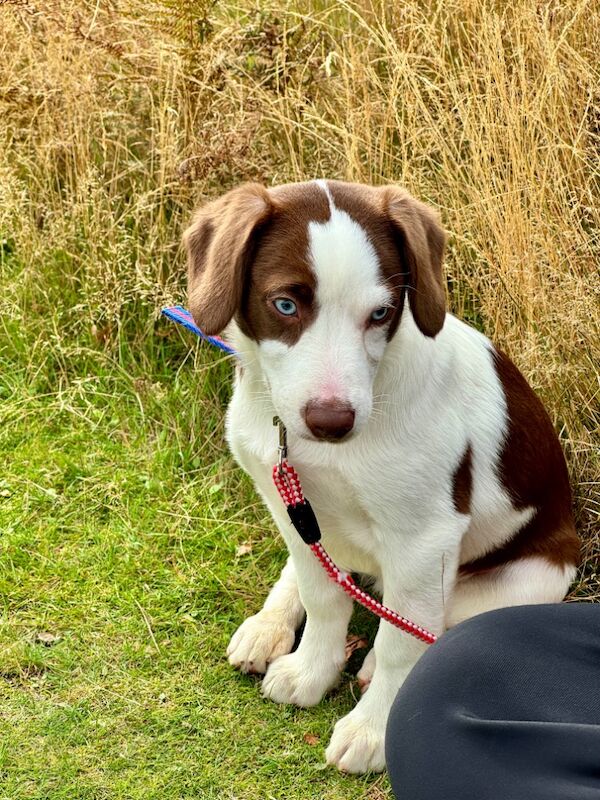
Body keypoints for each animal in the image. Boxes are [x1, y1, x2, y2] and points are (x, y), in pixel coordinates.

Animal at [182, 181, 576, 776]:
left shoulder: (425, 540)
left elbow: (400, 643)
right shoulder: (291, 505)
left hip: (525, 581)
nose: (331, 421)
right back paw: (269, 626)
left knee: (434, 625)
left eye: (381, 313)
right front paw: (311, 671)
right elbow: (322, 597)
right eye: (284, 304)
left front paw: (372, 729)